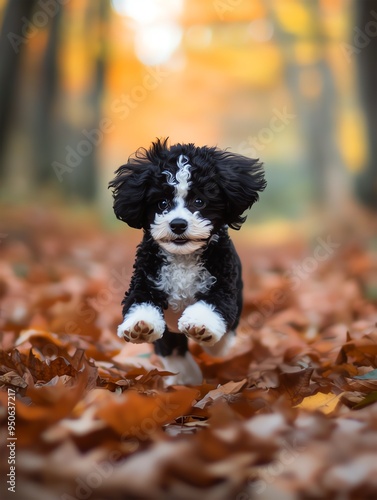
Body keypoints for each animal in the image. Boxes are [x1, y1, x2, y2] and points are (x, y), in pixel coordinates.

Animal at [107, 137, 266, 382]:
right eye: (162, 203)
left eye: (199, 201)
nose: (178, 224)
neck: (183, 258)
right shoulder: (145, 280)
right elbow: (140, 302)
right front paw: (140, 326)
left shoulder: (223, 286)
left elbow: (214, 306)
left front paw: (201, 325)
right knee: (171, 346)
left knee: (225, 335)